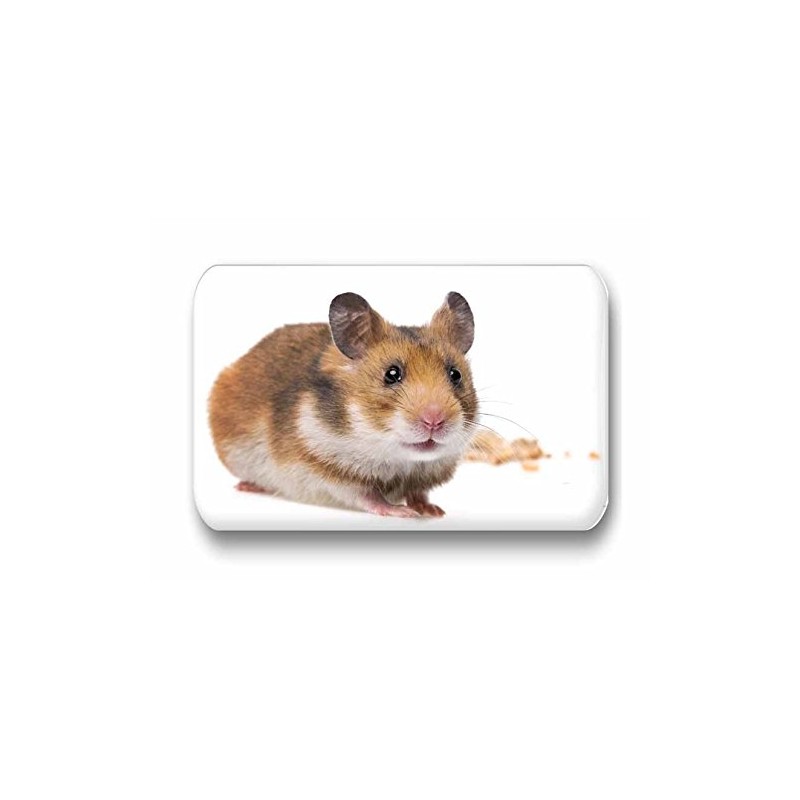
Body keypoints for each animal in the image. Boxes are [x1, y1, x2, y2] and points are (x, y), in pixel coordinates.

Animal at [208, 291, 478, 517]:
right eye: (391, 374)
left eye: (455, 375)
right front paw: (402, 512)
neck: (401, 462)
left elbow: (418, 493)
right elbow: (368, 497)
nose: (435, 420)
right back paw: (247, 486)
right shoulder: (327, 473)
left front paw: (434, 511)